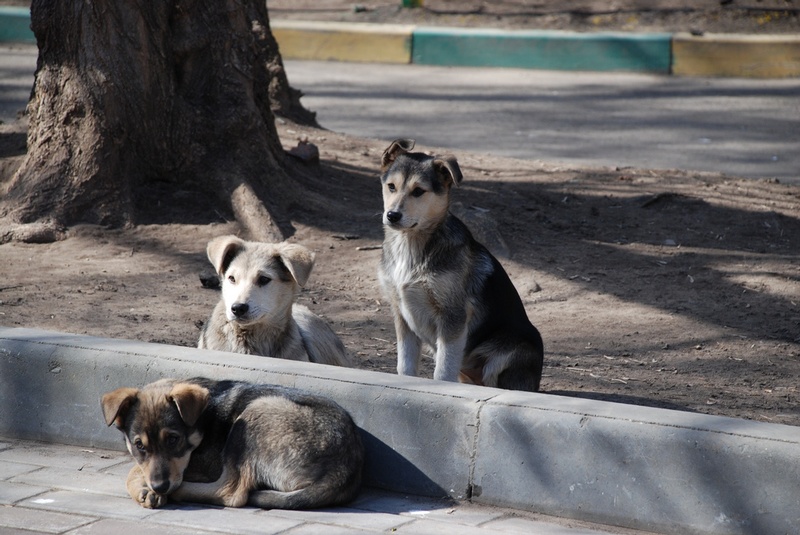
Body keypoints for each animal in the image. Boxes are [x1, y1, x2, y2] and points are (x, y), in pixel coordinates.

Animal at [101, 376, 366, 510]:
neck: (203, 420)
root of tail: (345, 470)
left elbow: (134, 470)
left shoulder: (204, 465)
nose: (160, 487)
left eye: (174, 439)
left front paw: (145, 488)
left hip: (256, 413)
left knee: (232, 492)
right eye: (139, 445)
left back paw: (179, 493)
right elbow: (139, 467)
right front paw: (146, 489)